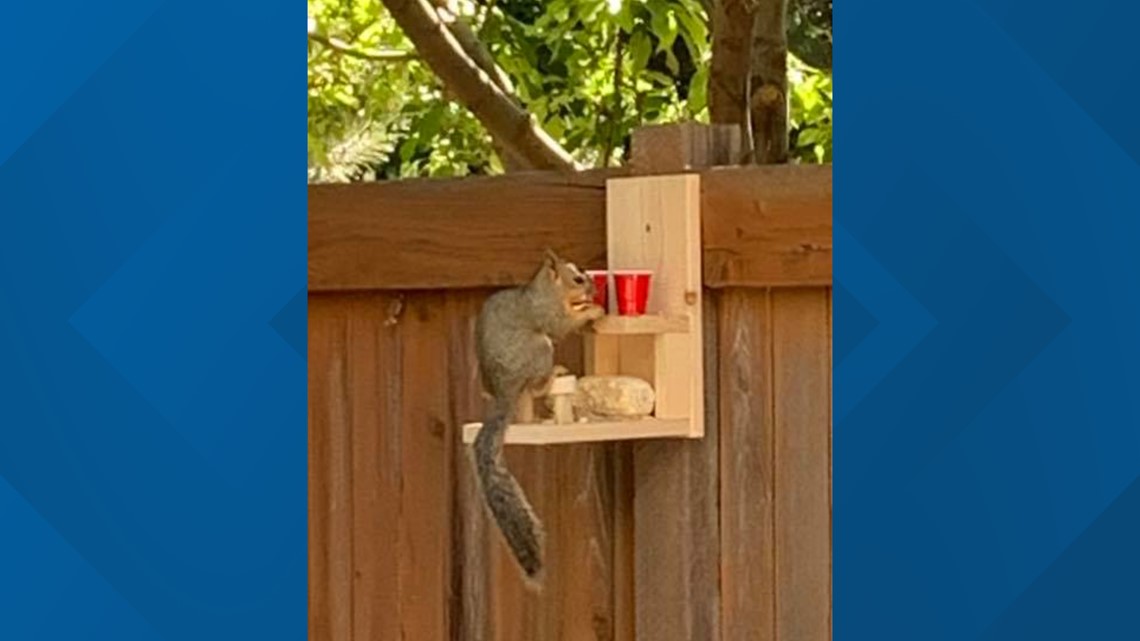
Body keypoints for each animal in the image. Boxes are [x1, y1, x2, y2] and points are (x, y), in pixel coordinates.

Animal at [473, 248, 604, 586]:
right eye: (577, 279)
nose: (593, 289)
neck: (547, 289)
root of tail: (504, 389)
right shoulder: (548, 313)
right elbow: (560, 325)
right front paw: (593, 312)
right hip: (539, 349)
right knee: (538, 380)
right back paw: (554, 374)